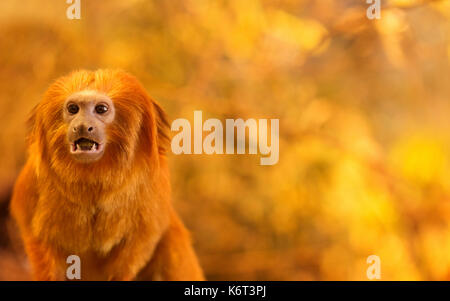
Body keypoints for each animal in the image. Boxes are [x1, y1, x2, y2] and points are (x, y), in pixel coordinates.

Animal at [9, 69, 205, 280]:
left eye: (101, 109)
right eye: (73, 109)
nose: (82, 126)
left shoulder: (152, 184)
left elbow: (145, 238)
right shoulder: (34, 183)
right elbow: (36, 236)